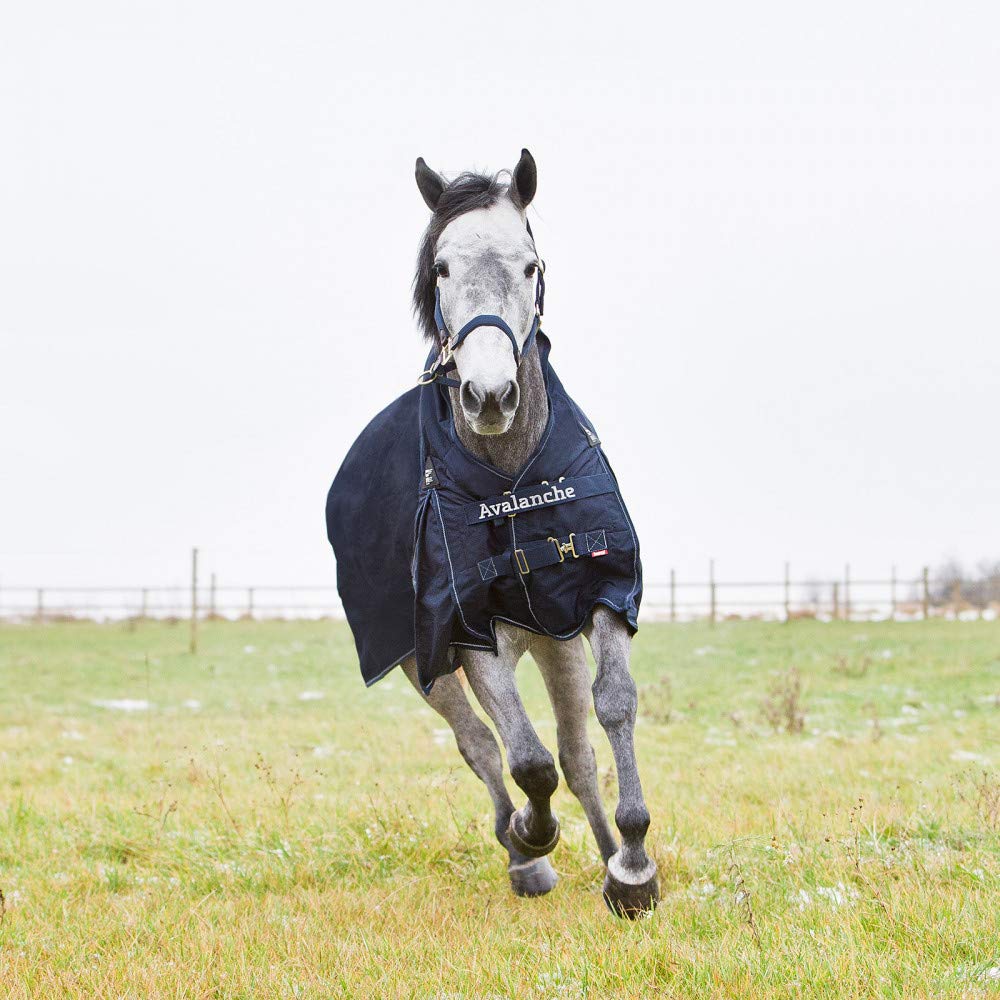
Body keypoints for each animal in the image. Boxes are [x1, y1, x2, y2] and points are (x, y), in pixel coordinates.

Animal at [326, 149, 658, 917]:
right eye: (442, 267)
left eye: (530, 265)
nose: (488, 396)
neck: (511, 480)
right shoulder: (467, 630)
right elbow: (526, 760)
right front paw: (535, 835)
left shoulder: (598, 596)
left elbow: (611, 709)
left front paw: (632, 864)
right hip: (422, 662)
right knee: (480, 744)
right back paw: (522, 856)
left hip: (549, 640)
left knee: (576, 752)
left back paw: (605, 855)